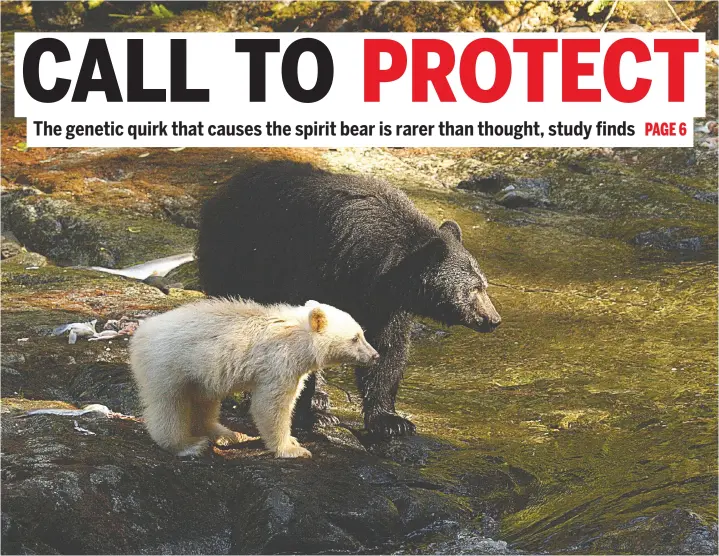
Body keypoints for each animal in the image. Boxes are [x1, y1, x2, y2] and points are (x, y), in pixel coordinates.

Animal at [197, 161, 500, 438]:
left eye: (484, 285)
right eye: (474, 288)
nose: (494, 319)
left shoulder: (385, 304)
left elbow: (388, 348)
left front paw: (391, 421)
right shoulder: (318, 269)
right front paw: (312, 416)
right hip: (238, 262)